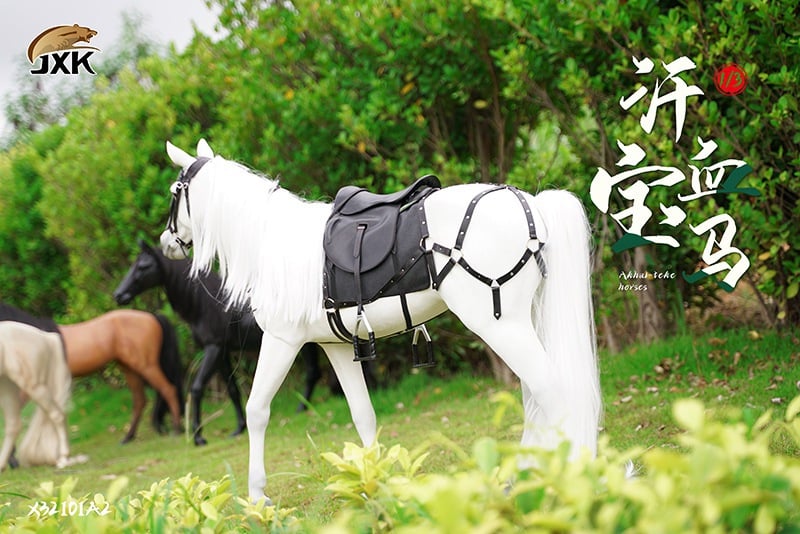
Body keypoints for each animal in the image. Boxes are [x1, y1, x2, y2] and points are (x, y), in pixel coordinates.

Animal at [0, 302, 185, 444]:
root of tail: (152, 316)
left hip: (146, 366)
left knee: (167, 390)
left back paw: (176, 429)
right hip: (130, 368)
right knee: (140, 400)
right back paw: (128, 437)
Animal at [0, 321, 72, 470]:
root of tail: (45, 337)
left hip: (33, 386)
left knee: (57, 415)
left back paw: (63, 458)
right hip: (6, 387)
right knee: (13, 425)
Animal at [113, 239, 331, 446]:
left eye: (143, 267)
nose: (119, 295)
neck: (206, 302)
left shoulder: (214, 349)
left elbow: (197, 387)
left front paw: (199, 437)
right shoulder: (222, 353)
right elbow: (233, 390)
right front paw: (238, 428)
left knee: (312, 372)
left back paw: (302, 408)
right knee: (313, 372)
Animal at [159, 139, 600, 503]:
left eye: (175, 192)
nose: (166, 243)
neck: (272, 241)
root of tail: (530, 205)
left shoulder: (282, 340)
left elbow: (257, 410)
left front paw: (256, 496)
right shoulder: (336, 347)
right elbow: (363, 414)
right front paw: (375, 484)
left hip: (501, 326)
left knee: (551, 393)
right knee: (536, 396)